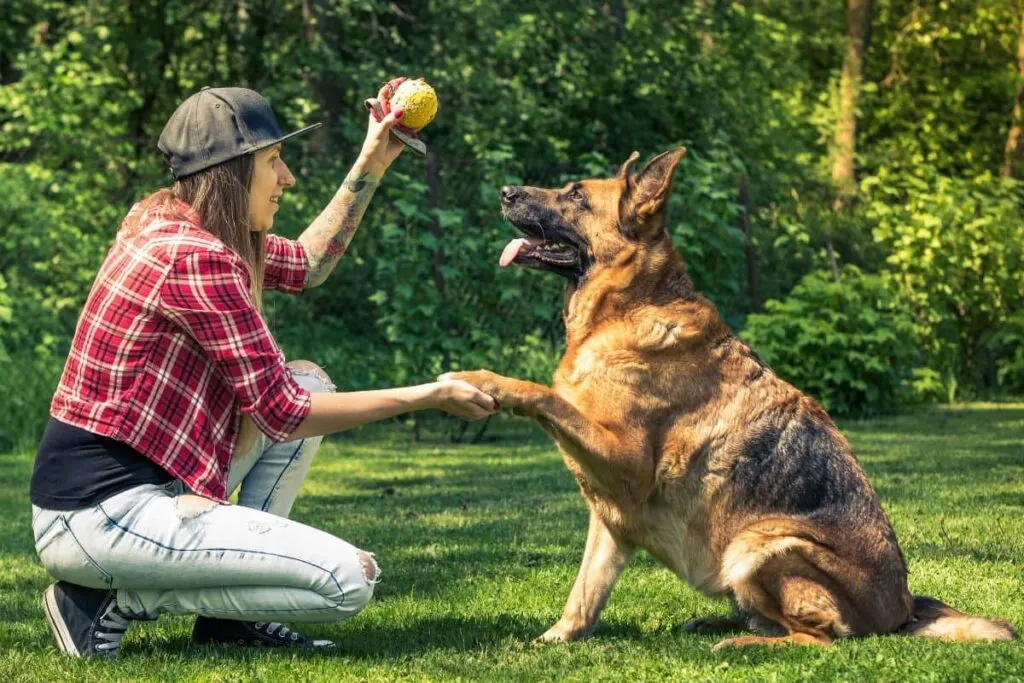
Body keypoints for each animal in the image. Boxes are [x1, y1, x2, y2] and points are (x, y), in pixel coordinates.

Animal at [448, 147, 1015, 651]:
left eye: (576, 195)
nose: (506, 191)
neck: (627, 307)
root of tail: (903, 612)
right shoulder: (611, 520)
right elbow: (584, 594)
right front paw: (557, 638)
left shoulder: (626, 464)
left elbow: (545, 396)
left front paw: (485, 380)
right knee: (777, 623)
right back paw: (719, 624)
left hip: (760, 546)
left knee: (818, 638)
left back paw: (742, 643)